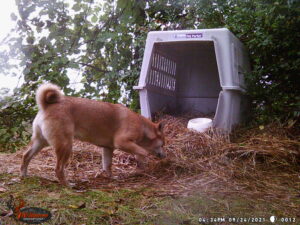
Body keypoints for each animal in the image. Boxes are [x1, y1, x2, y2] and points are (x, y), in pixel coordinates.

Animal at [20, 83, 166, 185]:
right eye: (163, 144)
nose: (164, 156)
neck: (142, 126)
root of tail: (46, 106)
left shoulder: (108, 148)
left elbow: (107, 166)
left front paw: (112, 178)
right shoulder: (122, 142)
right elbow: (142, 151)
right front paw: (141, 163)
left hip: (40, 142)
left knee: (26, 156)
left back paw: (24, 176)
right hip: (65, 146)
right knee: (58, 169)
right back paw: (68, 185)